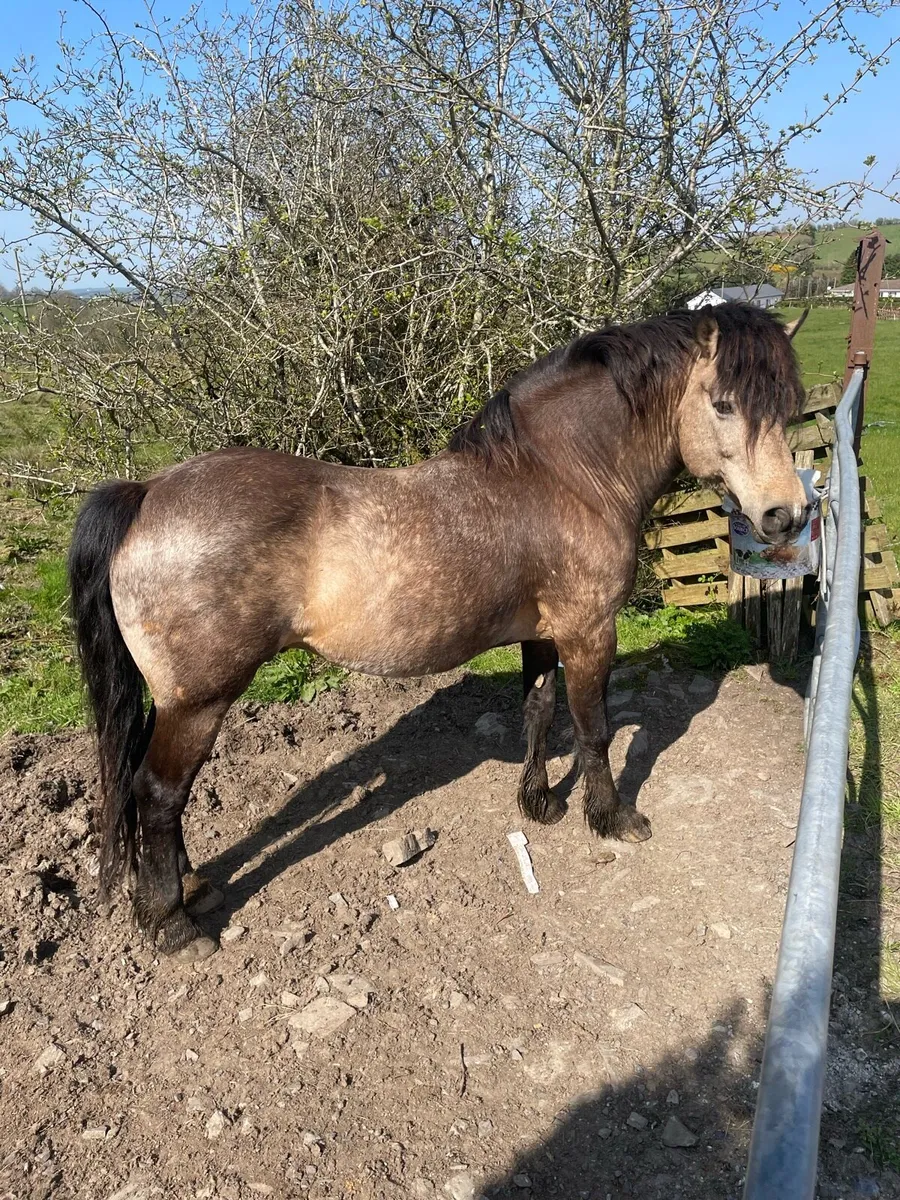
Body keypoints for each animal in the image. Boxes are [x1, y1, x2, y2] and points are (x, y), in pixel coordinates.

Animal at [68, 302, 809, 962]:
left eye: (790, 405)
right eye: (723, 404)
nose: (787, 515)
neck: (561, 476)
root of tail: (148, 493)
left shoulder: (543, 633)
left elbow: (538, 710)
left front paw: (539, 803)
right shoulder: (590, 631)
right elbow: (593, 729)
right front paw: (614, 819)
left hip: (174, 702)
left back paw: (189, 885)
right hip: (200, 701)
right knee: (157, 792)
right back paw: (171, 924)